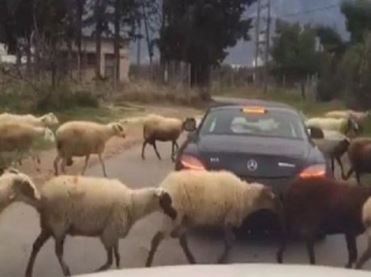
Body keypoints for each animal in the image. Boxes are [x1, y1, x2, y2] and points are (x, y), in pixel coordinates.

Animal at [24, 175, 179, 276]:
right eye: (166, 200)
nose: (175, 214)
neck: (133, 203)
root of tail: (42, 197)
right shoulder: (108, 234)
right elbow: (109, 261)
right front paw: (97, 271)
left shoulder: (113, 234)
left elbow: (117, 256)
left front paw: (119, 269)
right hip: (59, 225)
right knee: (58, 252)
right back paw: (67, 271)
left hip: (48, 226)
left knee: (36, 246)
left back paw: (28, 272)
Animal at [145, 170, 282, 266]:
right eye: (272, 197)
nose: (279, 208)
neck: (244, 195)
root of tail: (163, 186)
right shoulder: (229, 218)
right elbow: (230, 241)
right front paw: (221, 261)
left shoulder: (226, 220)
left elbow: (230, 240)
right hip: (174, 215)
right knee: (157, 239)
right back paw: (148, 263)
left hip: (183, 217)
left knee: (180, 239)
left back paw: (192, 260)